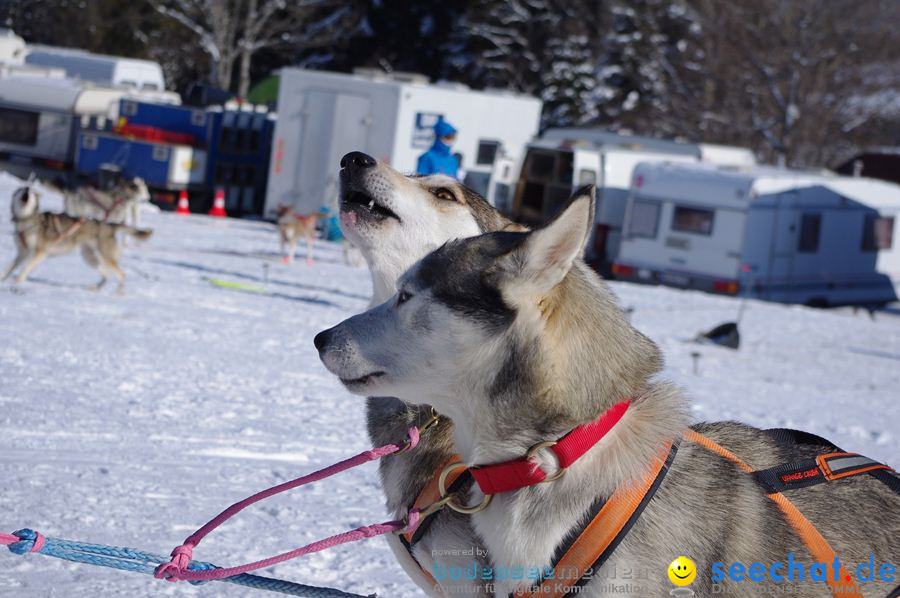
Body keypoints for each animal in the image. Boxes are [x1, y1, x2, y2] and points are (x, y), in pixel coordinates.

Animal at [2, 184, 153, 294]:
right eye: (21, 189)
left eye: (32, 191)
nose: (27, 188)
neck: (26, 220)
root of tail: (110, 225)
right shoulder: (22, 253)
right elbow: (8, 268)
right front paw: (3, 278)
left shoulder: (39, 253)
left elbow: (24, 269)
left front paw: (17, 282)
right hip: (89, 256)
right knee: (106, 275)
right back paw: (95, 288)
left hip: (105, 257)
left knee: (121, 274)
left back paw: (118, 292)